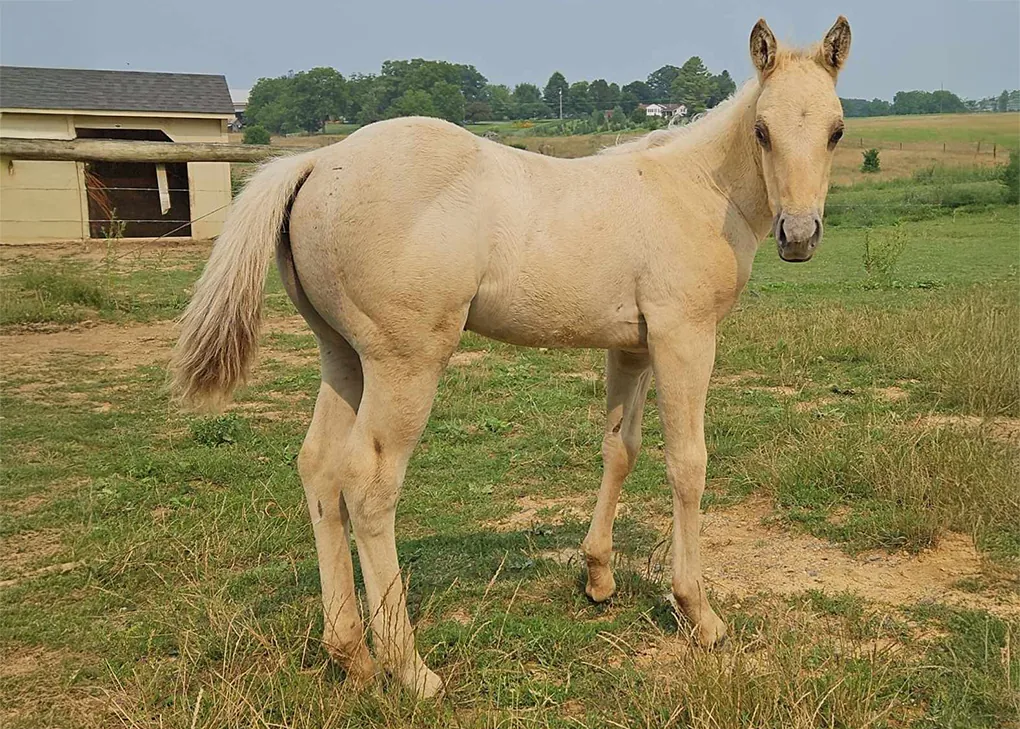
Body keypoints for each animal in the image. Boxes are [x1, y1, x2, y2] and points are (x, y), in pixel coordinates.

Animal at [172, 16, 852, 697]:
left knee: (318, 469)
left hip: (343, 357)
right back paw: (409, 667)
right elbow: (688, 463)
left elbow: (620, 448)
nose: (798, 235)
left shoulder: (631, 347)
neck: (697, 191)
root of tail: (318, 161)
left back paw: (351, 655)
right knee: (367, 484)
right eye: (762, 130)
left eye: (836, 130)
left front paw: (599, 577)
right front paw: (699, 614)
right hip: (404, 363)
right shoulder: (683, 336)